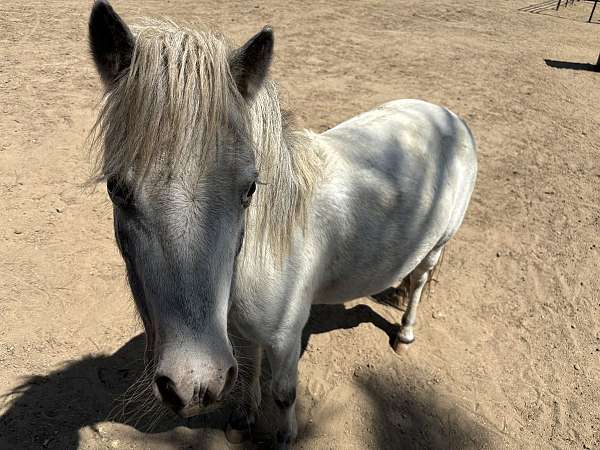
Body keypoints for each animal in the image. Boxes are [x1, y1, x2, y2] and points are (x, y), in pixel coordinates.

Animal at [86, 1, 476, 448]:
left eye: (250, 188)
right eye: (116, 188)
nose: (193, 384)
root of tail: (448, 116)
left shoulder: (286, 338)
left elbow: (284, 392)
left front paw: (286, 437)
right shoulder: (241, 333)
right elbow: (249, 370)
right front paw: (242, 419)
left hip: (437, 247)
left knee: (419, 283)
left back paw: (405, 334)